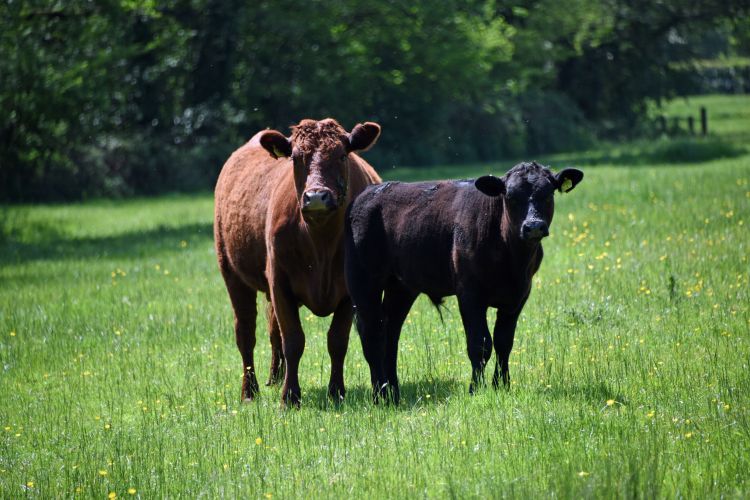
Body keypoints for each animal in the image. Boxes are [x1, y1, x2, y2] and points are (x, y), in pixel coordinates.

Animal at [216, 118, 382, 406]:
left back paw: (274, 377)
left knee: (272, 331)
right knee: (246, 333)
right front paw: (290, 397)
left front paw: (336, 392)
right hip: (232, 274)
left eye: (341, 155)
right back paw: (250, 391)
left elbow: (337, 341)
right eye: (295, 158)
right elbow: (293, 340)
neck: (321, 243)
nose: (316, 197)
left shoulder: (349, 290)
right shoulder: (279, 282)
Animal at [344, 162, 584, 404]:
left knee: (390, 332)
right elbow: (480, 343)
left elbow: (504, 341)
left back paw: (393, 393)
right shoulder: (469, 293)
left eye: (548, 193)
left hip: (402, 286)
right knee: (372, 332)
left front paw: (502, 385)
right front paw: (475, 389)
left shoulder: (519, 295)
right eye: (510, 196)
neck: (511, 258)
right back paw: (380, 394)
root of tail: (367, 193)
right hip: (363, 279)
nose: (533, 226)